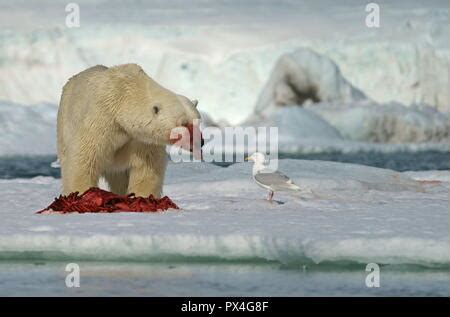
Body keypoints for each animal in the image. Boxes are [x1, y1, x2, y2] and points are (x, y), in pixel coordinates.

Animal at [57, 64, 201, 196]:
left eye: (198, 122)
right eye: (184, 123)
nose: (201, 142)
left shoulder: (142, 139)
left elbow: (146, 168)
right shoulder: (100, 121)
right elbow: (84, 159)